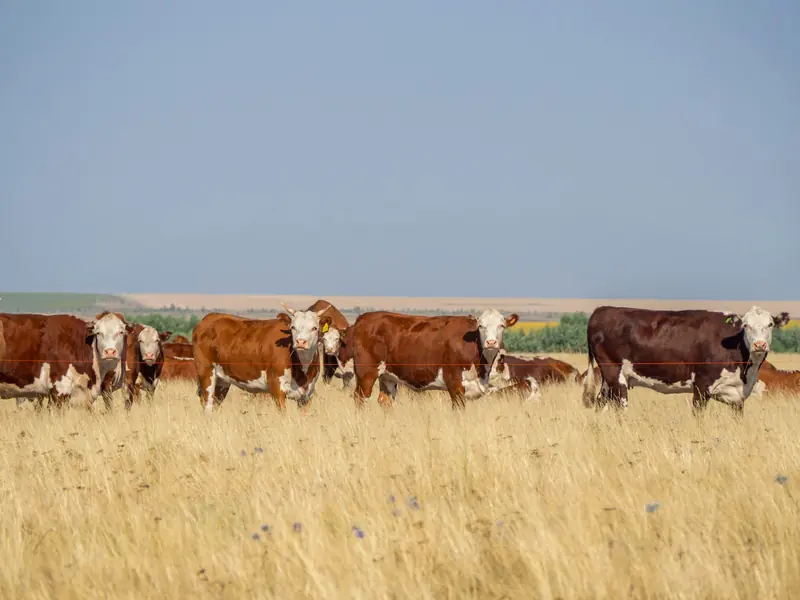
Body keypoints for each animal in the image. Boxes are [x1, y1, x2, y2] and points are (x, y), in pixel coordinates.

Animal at [192, 303, 332, 413]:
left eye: (314, 328)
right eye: (293, 327)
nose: (300, 342)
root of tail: (209, 318)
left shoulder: (307, 395)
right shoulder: (277, 389)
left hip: (222, 382)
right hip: (206, 373)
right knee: (207, 405)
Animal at [350, 309, 519, 409]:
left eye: (502, 326)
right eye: (481, 326)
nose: (491, 342)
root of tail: (364, 317)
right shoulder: (455, 385)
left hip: (388, 376)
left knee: (385, 401)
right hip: (366, 373)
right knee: (360, 399)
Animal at [582, 305, 791, 415]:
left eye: (770, 324)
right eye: (746, 325)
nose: (759, 344)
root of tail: (601, 310)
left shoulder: (738, 397)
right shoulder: (701, 386)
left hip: (609, 382)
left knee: (601, 404)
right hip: (615, 376)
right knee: (620, 408)